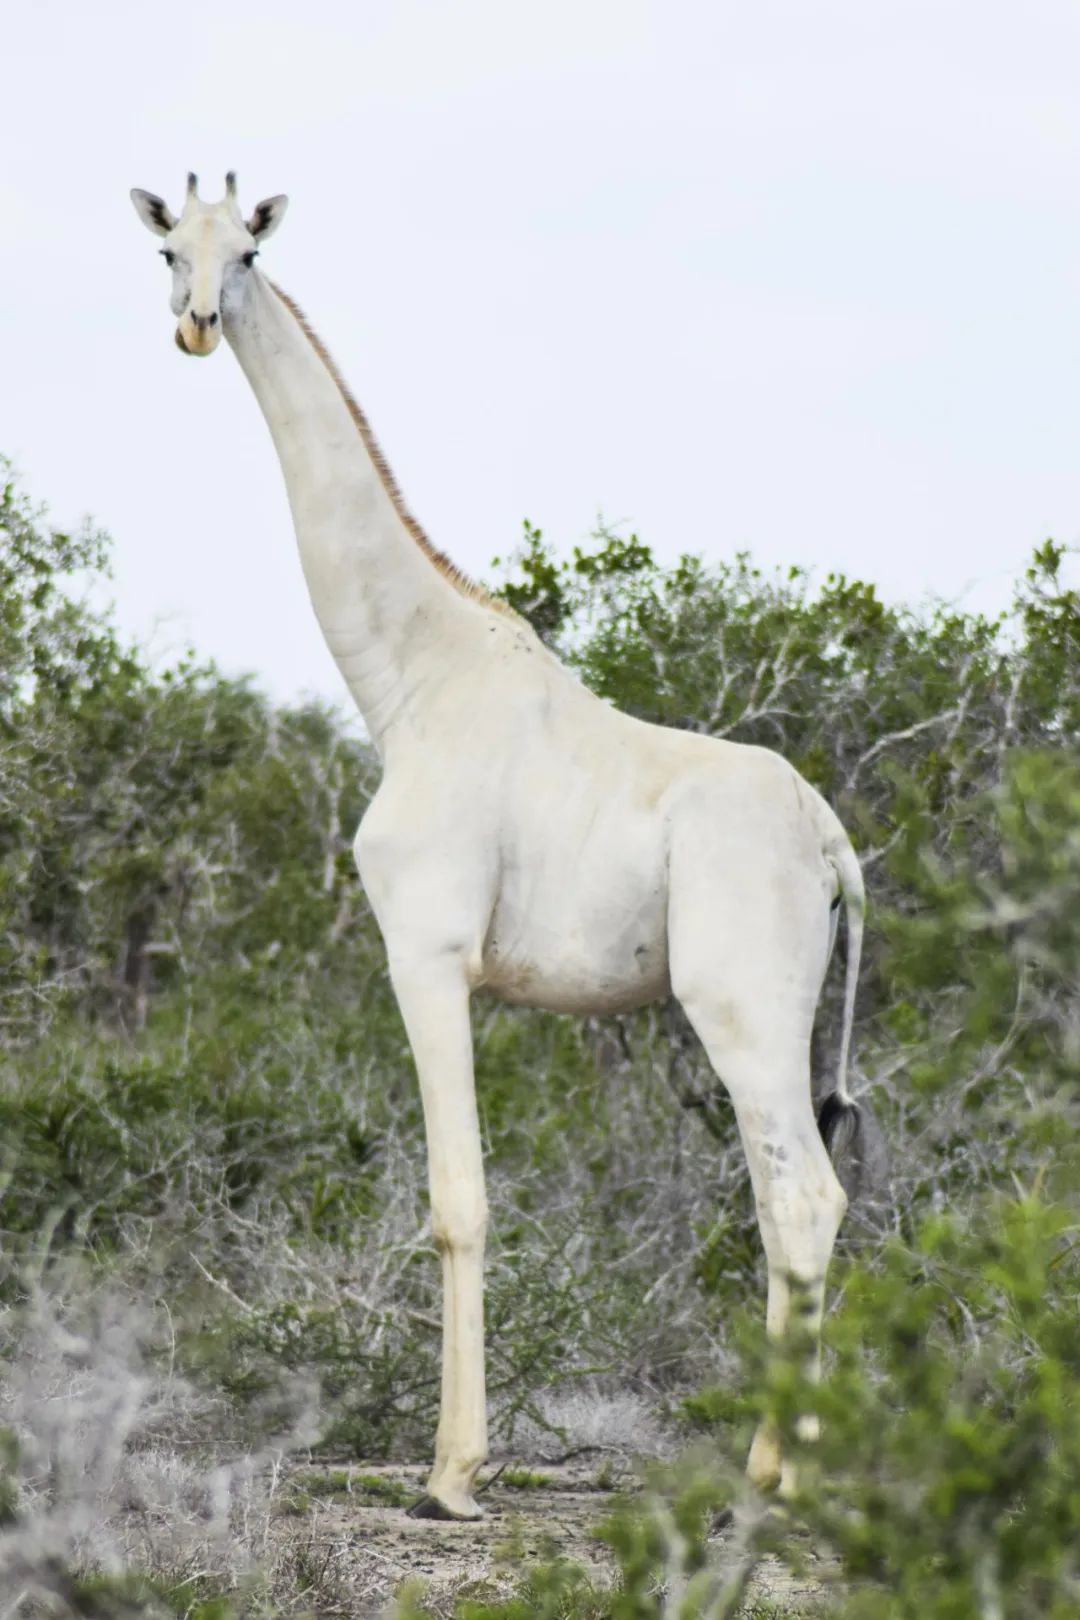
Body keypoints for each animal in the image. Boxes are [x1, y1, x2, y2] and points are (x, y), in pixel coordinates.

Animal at [131, 177, 867, 1516]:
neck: (407, 680)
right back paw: (796, 1467)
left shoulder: (425, 953)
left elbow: (457, 1203)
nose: (199, 324)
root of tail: (837, 849)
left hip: (741, 1007)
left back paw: (769, 1474)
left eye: (249, 251)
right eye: (169, 248)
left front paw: (452, 1473)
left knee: (800, 1195)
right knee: (802, 1198)